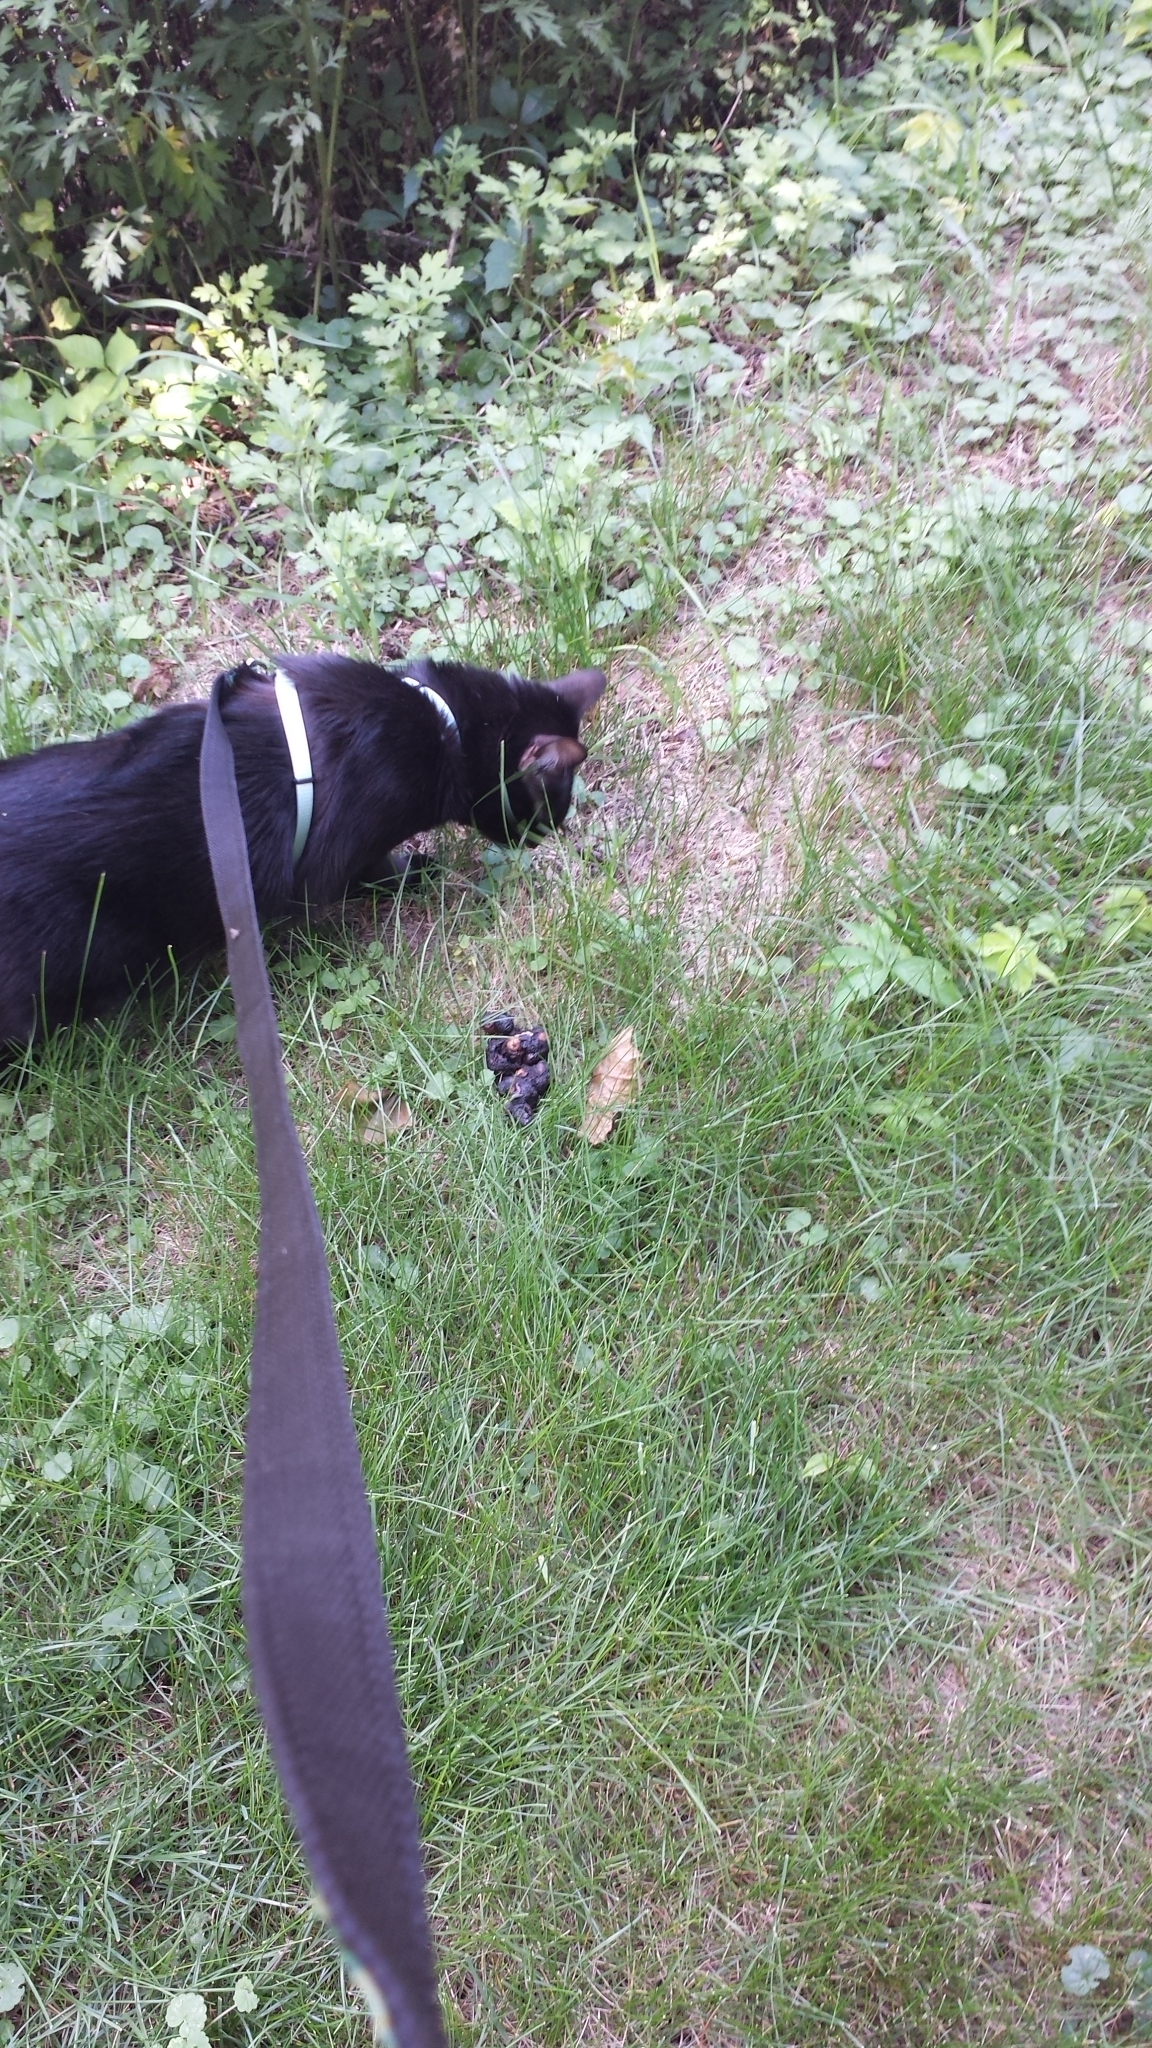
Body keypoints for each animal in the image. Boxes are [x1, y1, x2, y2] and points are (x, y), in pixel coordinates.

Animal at [0, 651, 606, 1048]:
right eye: (552, 806)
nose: (549, 836)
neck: (443, 723)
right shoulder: (344, 855)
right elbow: (375, 873)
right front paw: (418, 871)